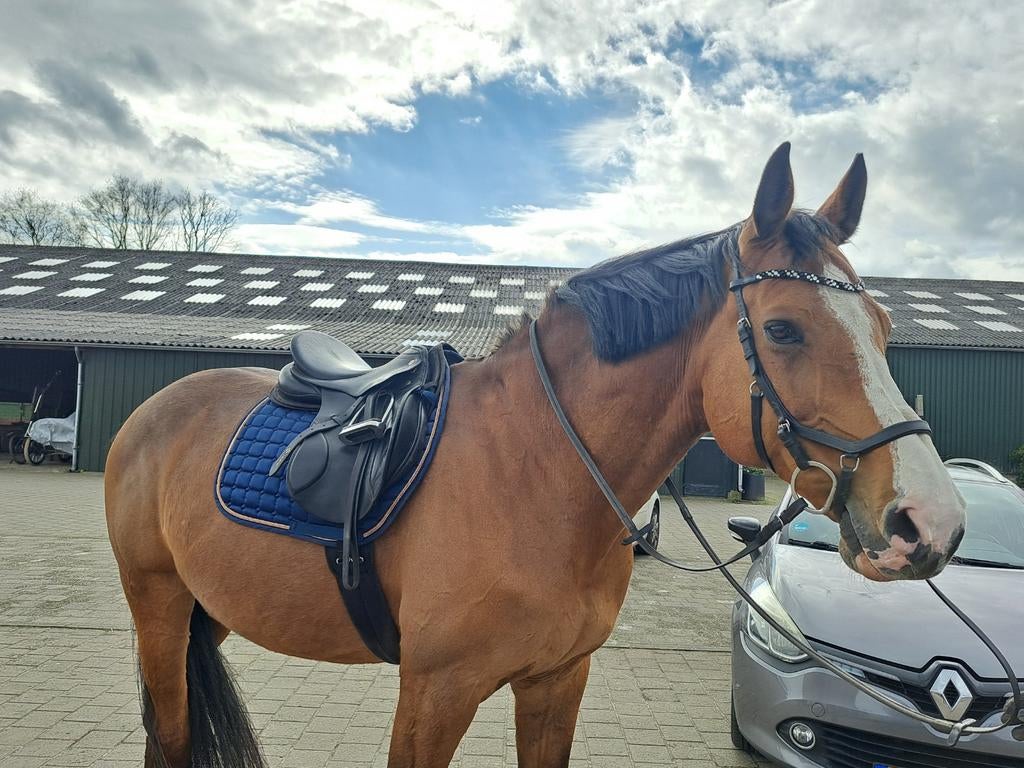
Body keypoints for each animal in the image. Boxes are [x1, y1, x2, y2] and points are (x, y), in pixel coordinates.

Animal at [104, 143, 966, 768]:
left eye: (885, 328)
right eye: (784, 329)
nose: (930, 523)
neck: (534, 476)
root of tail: (155, 410)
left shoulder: (557, 681)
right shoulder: (434, 693)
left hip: (208, 611)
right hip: (157, 604)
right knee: (168, 738)